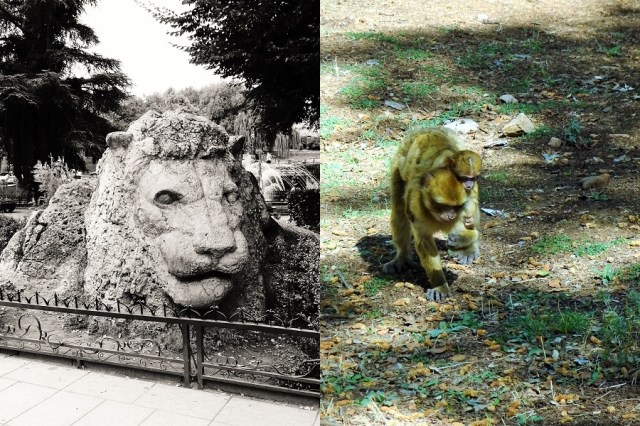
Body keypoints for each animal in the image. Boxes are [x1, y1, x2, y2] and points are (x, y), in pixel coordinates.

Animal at [383, 127, 482, 301]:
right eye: (443, 206)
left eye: (455, 207)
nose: (450, 216)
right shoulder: (416, 204)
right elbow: (424, 241)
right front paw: (440, 285)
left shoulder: (464, 206)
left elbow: (470, 218)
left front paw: (465, 239)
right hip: (402, 158)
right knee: (399, 206)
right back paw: (402, 257)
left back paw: (468, 248)